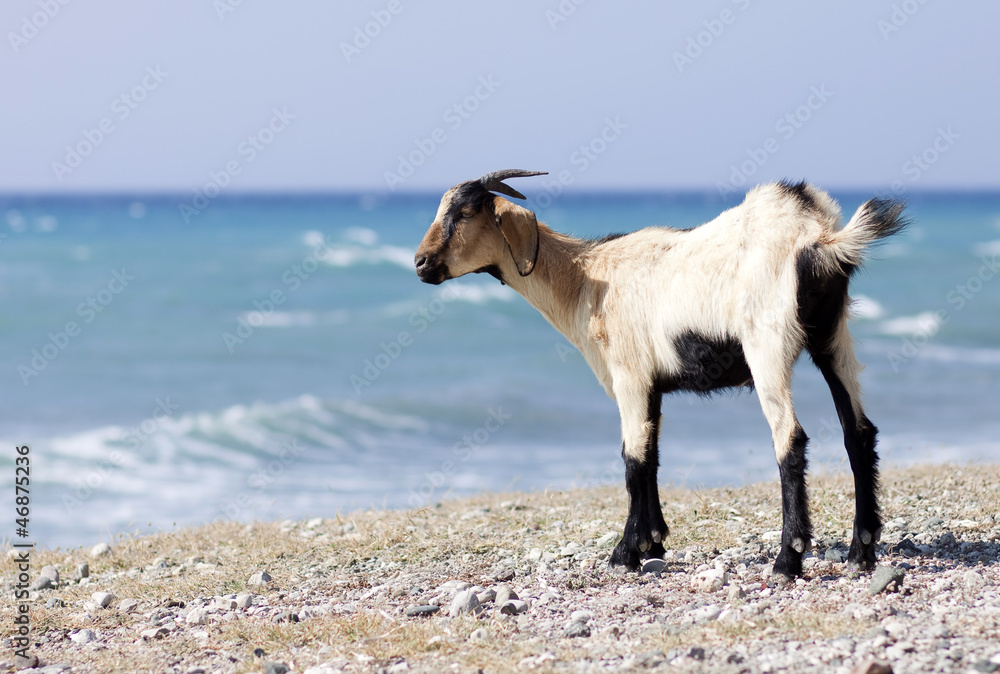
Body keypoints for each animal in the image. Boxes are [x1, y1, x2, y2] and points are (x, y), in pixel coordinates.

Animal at [414, 169, 907, 577]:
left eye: (465, 212)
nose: (420, 263)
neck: (585, 279)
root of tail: (821, 238)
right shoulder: (651, 385)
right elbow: (649, 456)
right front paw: (653, 543)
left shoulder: (629, 375)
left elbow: (632, 460)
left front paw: (625, 553)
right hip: (832, 334)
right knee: (858, 431)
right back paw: (861, 552)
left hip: (767, 343)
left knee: (790, 439)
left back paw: (788, 560)